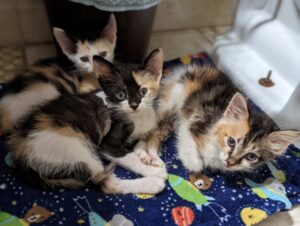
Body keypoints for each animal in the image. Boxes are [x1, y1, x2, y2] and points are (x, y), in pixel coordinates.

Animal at [141, 66, 300, 172]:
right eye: (231, 142)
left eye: (251, 156)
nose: (230, 162)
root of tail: (193, 68)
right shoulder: (192, 123)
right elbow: (195, 157)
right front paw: (194, 164)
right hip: (169, 101)